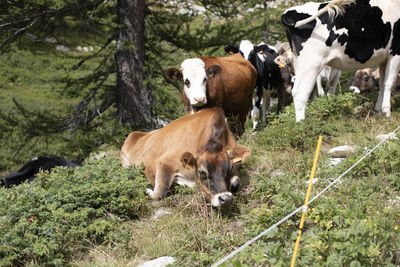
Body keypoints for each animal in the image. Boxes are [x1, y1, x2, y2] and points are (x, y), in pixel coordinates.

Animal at [119, 108, 250, 208]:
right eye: (202, 172)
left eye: (229, 169)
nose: (226, 199)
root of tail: (135, 133)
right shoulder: (163, 162)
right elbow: (159, 193)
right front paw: (148, 190)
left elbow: (236, 182)